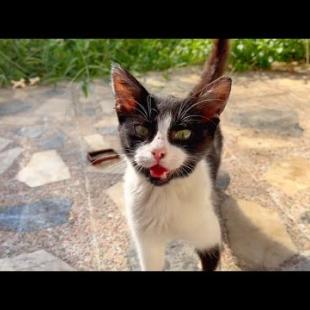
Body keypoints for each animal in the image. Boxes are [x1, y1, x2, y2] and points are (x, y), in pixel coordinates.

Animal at [111, 39, 230, 272]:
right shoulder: (147, 243)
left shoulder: (209, 237)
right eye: (141, 130)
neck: (165, 194)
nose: (158, 152)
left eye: (183, 133)